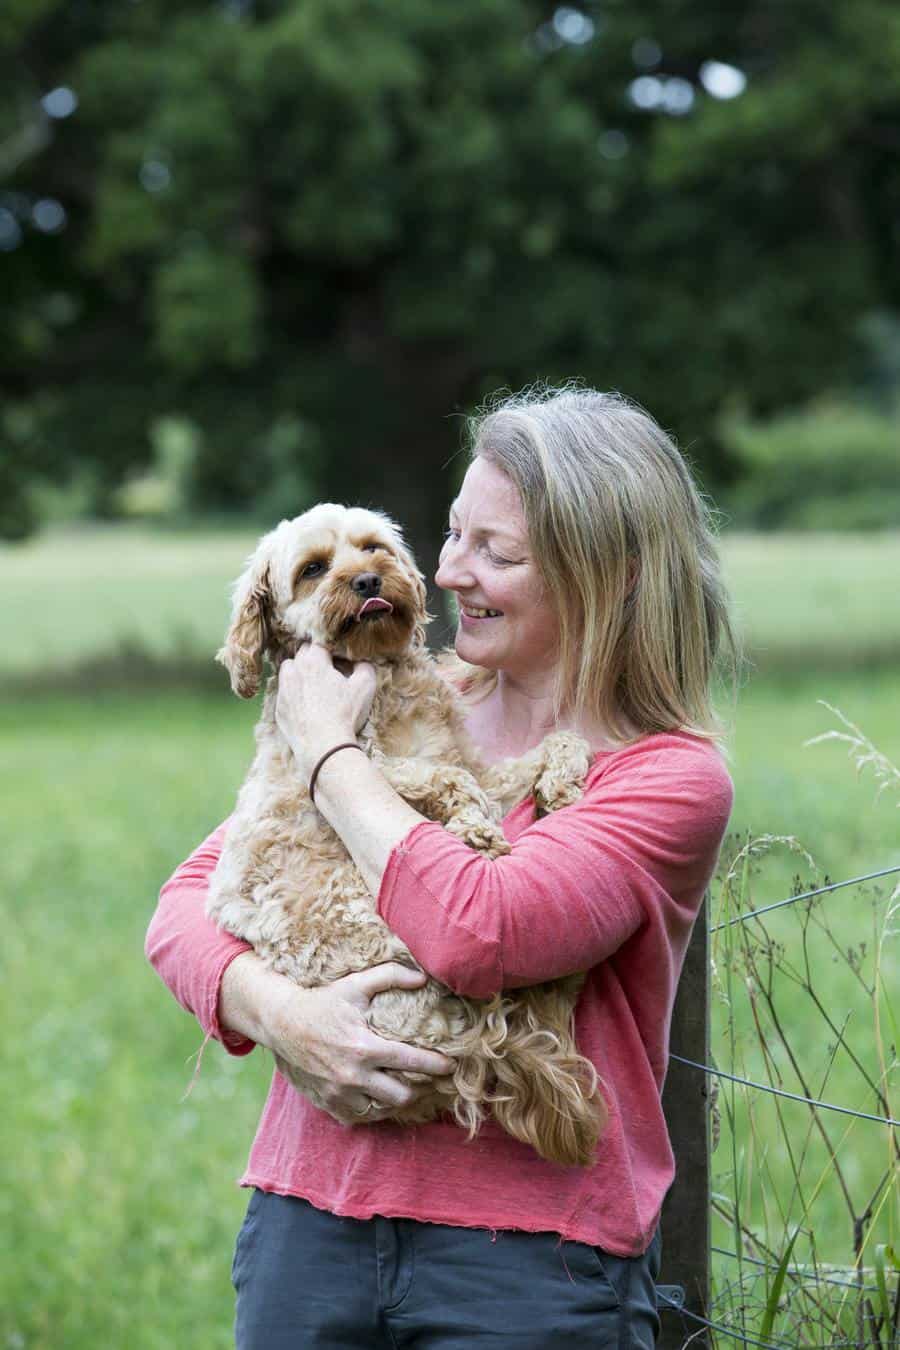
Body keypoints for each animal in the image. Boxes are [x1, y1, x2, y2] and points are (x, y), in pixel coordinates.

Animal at [207, 502, 604, 1166]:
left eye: (373, 547)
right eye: (313, 569)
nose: (368, 580)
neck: (381, 672)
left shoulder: (475, 762)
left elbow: (549, 745)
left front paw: (563, 783)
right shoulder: (367, 762)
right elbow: (445, 780)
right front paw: (477, 832)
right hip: (377, 924)